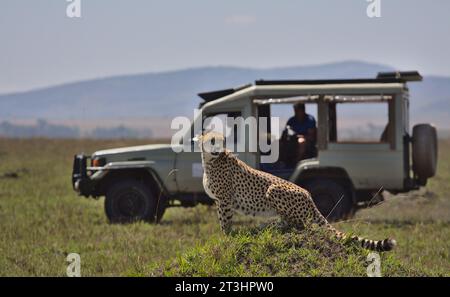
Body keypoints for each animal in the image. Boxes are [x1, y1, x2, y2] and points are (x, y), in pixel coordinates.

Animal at [199, 131, 396, 251]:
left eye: (222, 140)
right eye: (212, 141)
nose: (219, 148)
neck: (210, 161)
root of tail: (310, 197)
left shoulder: (224, 200)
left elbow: (225, 222)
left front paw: (225, 237)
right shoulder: (219, 200)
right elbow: (222, 220)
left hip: (273, 189)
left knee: (300, 225)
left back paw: (270, 226)